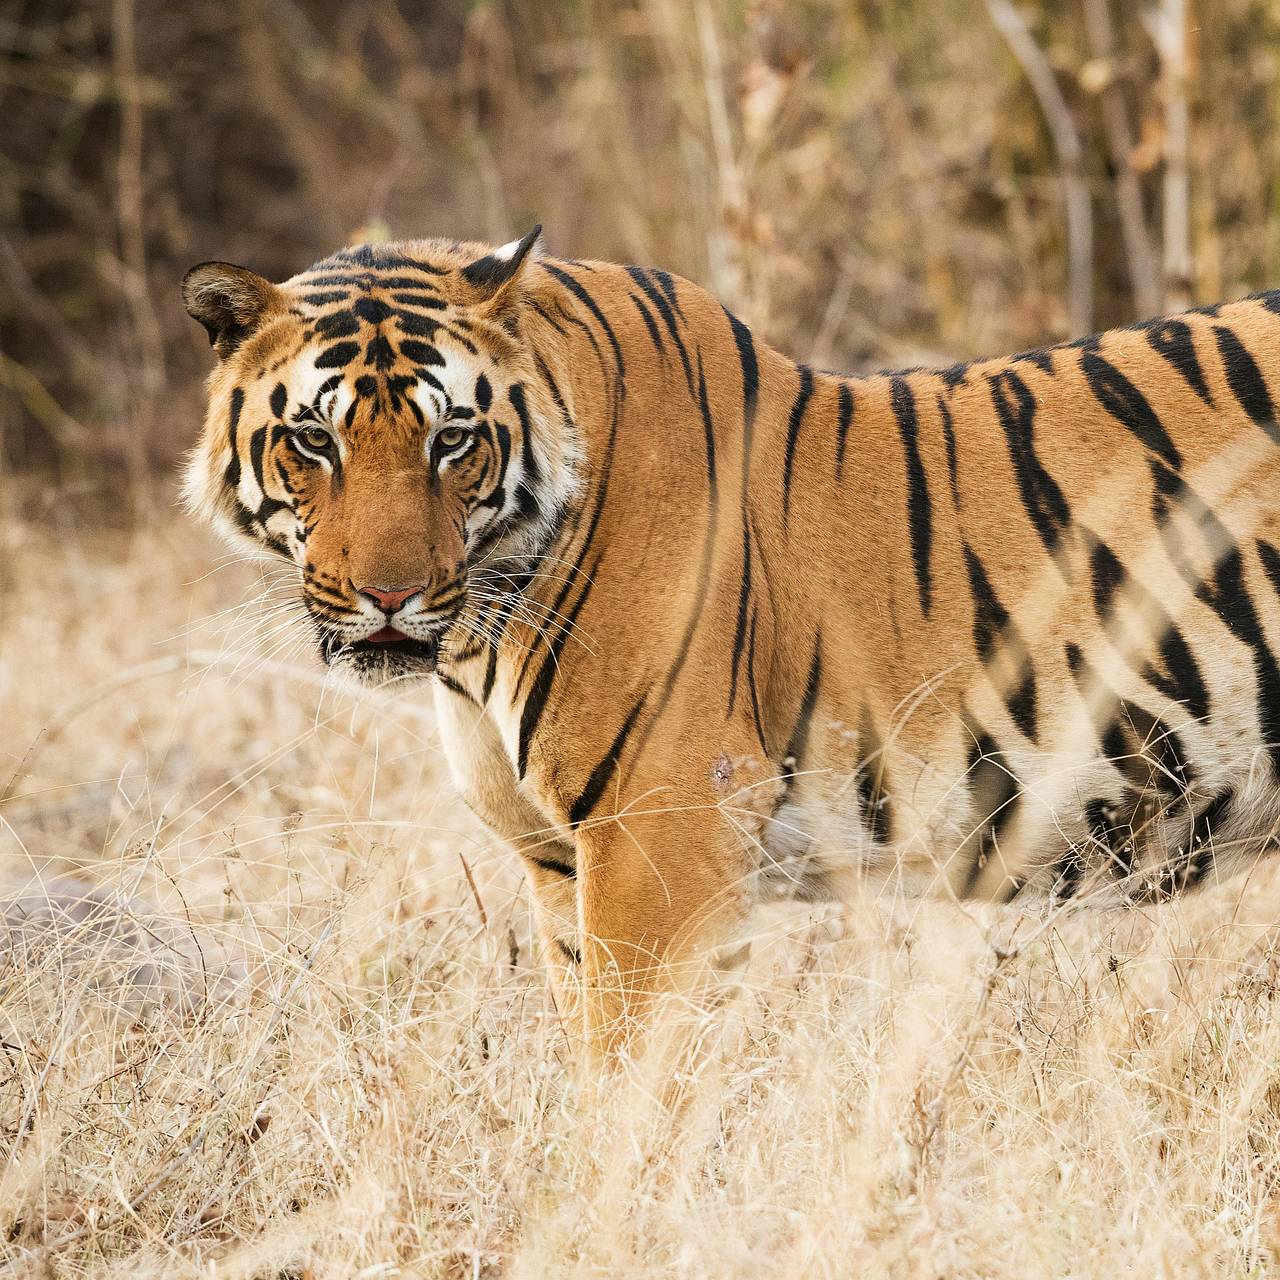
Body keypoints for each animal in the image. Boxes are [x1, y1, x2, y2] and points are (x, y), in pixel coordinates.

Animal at [183, 227, 1280, 1059]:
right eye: (314, 440)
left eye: (450, 438)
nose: (390, 594)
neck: (479, 631)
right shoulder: (557, 861)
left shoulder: (661, 831)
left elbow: (627, 1080)